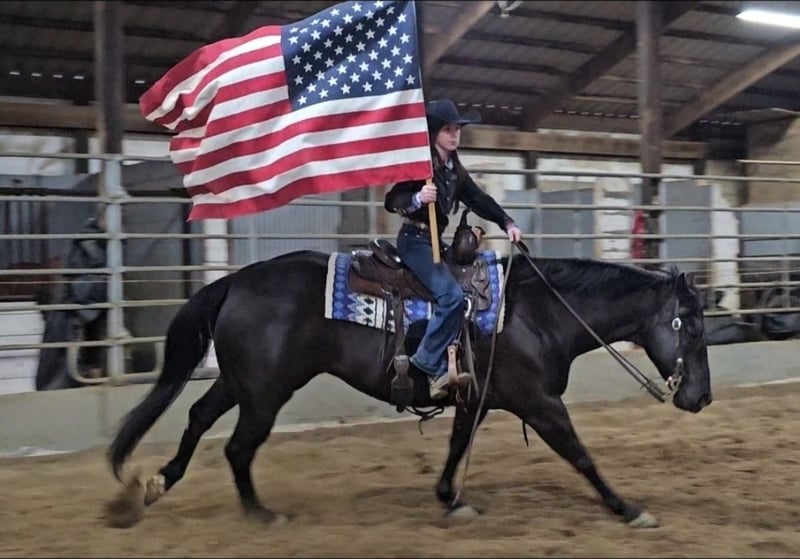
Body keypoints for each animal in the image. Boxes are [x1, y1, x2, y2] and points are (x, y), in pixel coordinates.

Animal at [105, 248, 712, 529]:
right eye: (692, 327)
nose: (701, 398)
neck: (540, 313)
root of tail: (236, 280)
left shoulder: (477, 398)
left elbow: (457, 446)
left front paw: (450, 498)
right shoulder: (540, 404)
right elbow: (581, 455)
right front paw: (629, 509)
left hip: (242, 383)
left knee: (198, 418)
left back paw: (156, 484)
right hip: (265, 392)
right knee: (236, 446)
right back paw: (260, 514)